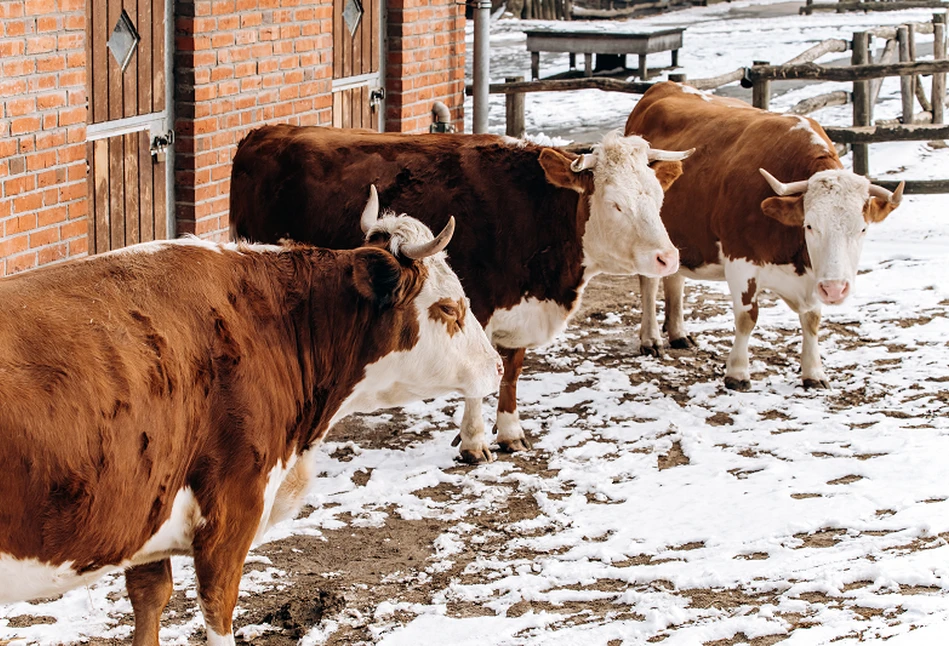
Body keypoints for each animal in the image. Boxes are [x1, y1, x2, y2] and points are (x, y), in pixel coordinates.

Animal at [0, 200, 504, 644]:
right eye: (449, 308)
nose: (497, 366)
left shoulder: (144, 513)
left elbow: (149, 603)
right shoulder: (231, 513)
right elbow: (218, 611)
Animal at [228, 124, 688, 464]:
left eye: (658, 196)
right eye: (615, 204)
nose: (667, 257)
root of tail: (264, 132)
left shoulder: (516, 315)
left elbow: (511, 372)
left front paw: (510, 432)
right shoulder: (474, 307)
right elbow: (476, 381)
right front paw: (474, 443)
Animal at [624, 83, 900, 392]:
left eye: (862, 229)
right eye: (810, 226)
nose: (835, 289)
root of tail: (664, 86)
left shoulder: (813, 274)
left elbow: (812, 319)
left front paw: (814, 372)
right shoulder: (740, 261)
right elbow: (747, 317)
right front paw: (737, 373)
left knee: (675, 278)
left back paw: (678, 334)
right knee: (649, 284)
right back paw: (651, 339)